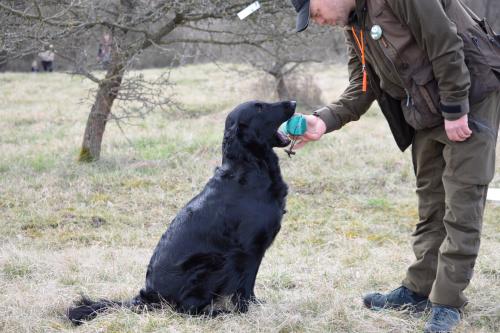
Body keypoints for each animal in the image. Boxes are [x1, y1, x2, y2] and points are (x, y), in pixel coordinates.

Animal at [68, 100, 294, 322]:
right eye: (259, 107)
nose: (293, 102)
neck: (250, 167)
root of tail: (148, 296)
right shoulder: (247, 250)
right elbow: (246, 286)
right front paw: (246, 311)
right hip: (213, 263)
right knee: (186, 308)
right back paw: (218, 313)